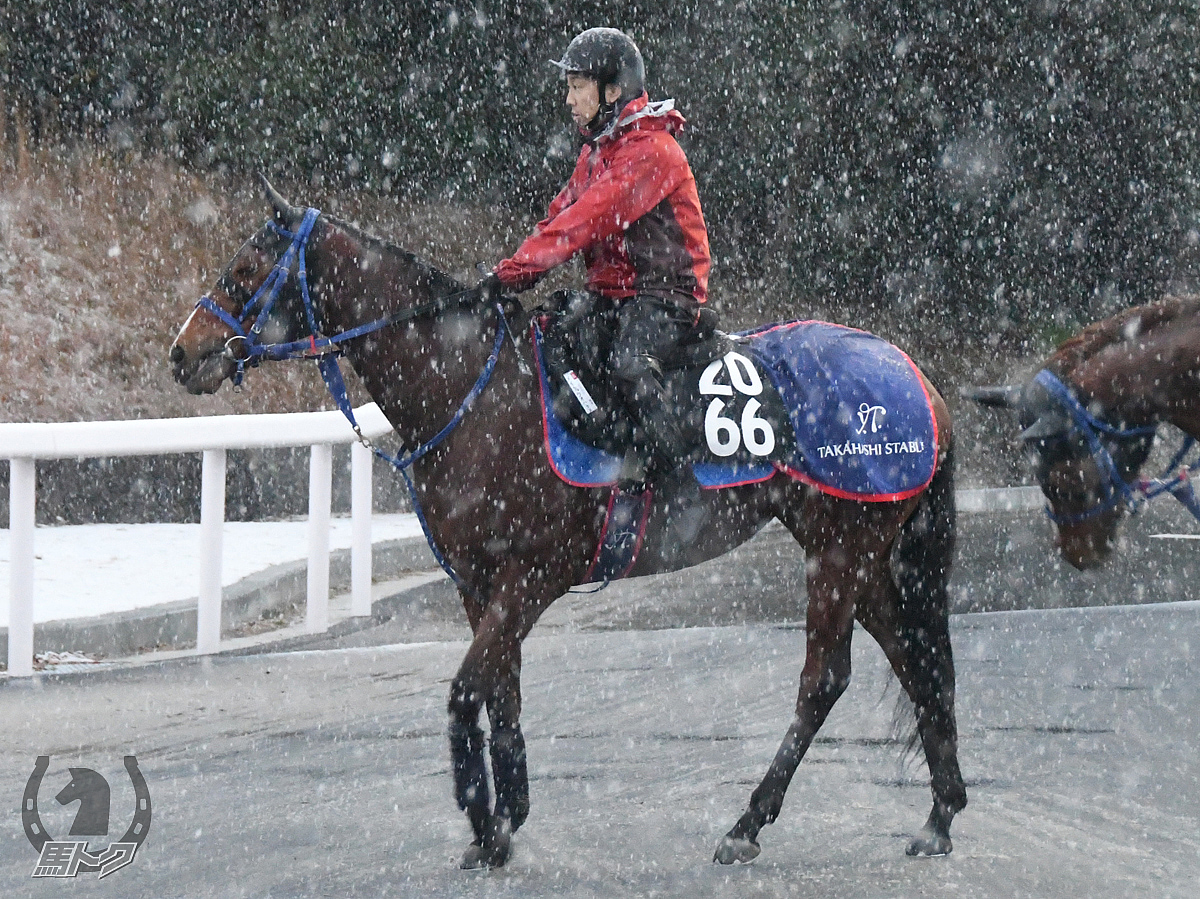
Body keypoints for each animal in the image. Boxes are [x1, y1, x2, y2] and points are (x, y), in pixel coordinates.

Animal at [171, 183, 964, 868]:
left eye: (245, 270)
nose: (183, 353)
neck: (473, 387)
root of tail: (915, 375)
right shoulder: (480, 582)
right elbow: (502, 690)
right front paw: (505, 817)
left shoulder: (532, 575)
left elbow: (466, 692)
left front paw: (481, 814)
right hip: (860, 553)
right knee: (916, 658)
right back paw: (939, 815)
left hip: (840, 547)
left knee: (825, 678)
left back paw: (748, 823)